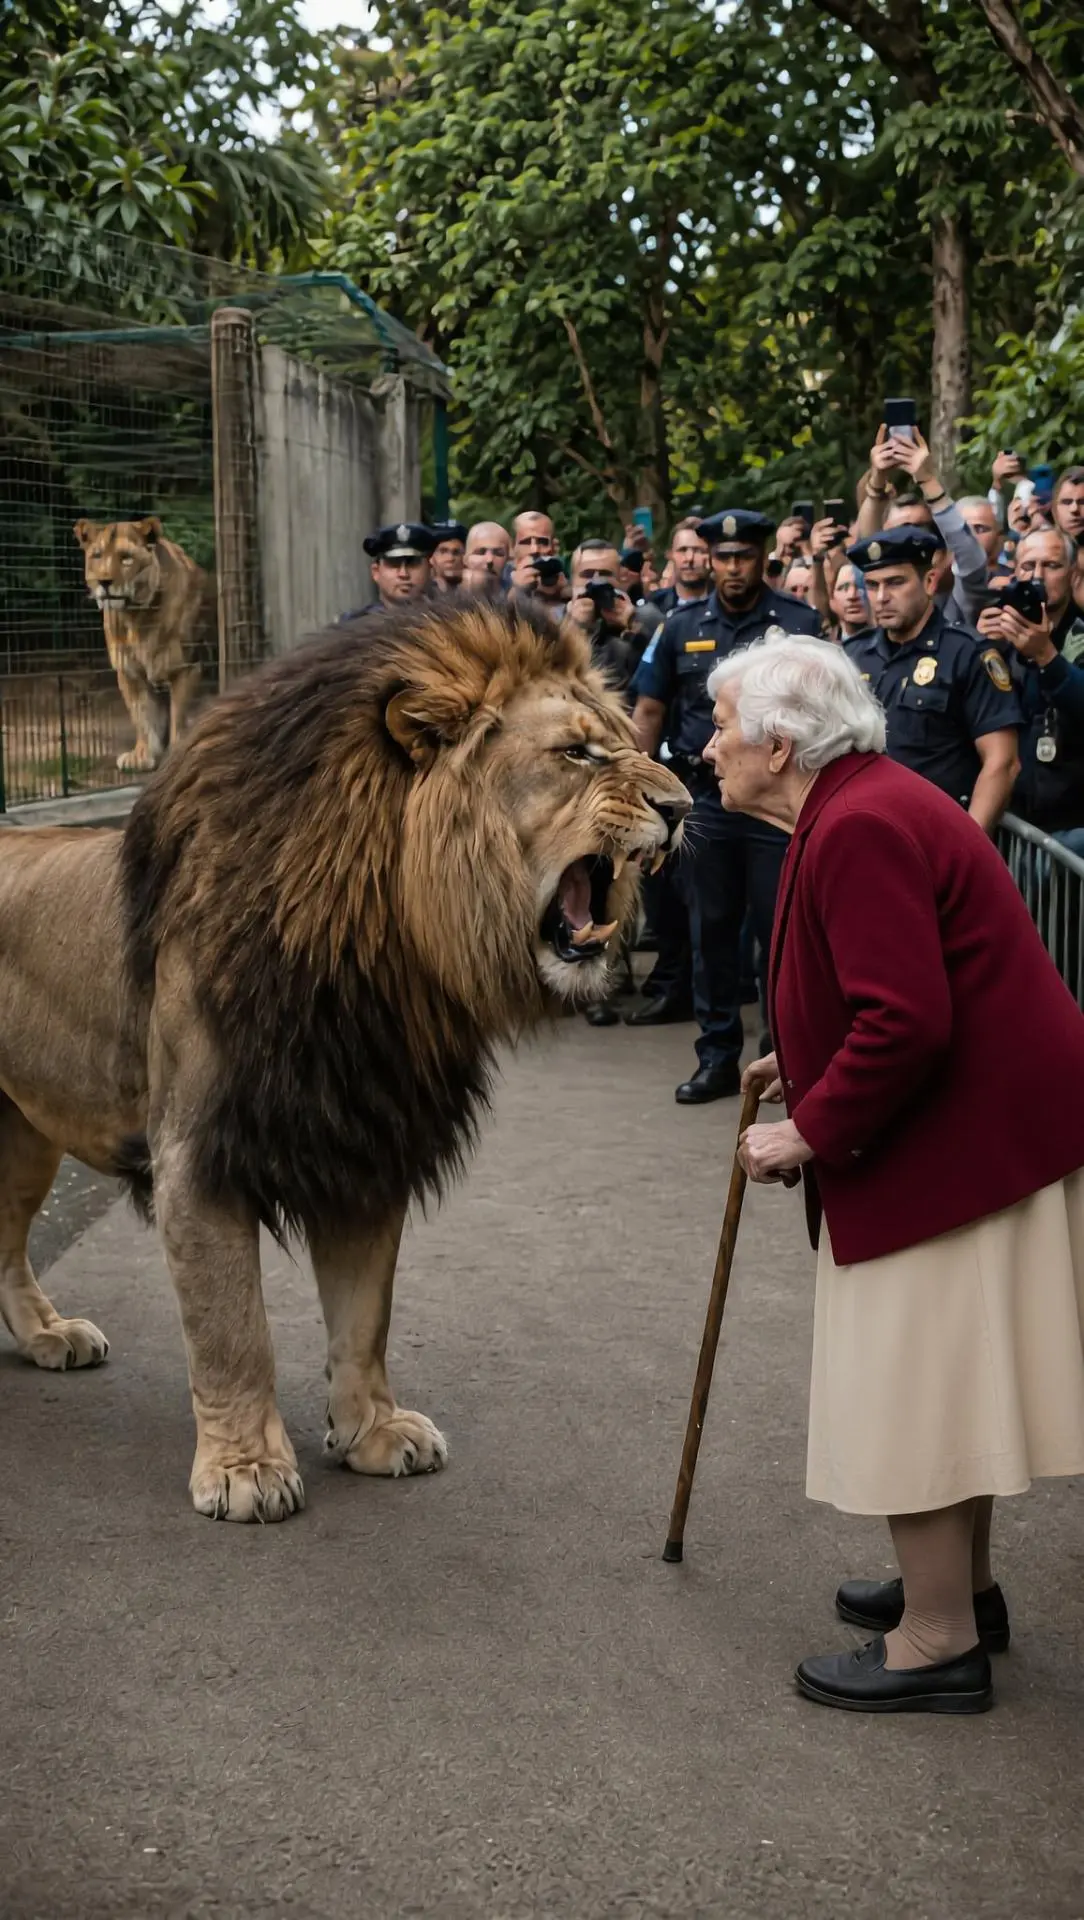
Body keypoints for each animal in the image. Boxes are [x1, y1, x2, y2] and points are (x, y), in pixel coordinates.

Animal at [0, 599, 689, 1522]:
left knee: (8, 1246)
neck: (379, 952)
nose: (684, 805)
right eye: (577, 753)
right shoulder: (200, 1152)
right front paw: (246, 1469)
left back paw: (48, 1335)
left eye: (624, 740)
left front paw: (371, 1434)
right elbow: (233, 1331)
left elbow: (365, 1318)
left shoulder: (363, 1139)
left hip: (25, 1134)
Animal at [74, 516, 214, 772]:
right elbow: (142, 715)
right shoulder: (129, 672)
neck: (135, 617)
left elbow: (179, 714)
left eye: (126, 558)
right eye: (97, 556)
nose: (104, 581)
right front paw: (141, 755)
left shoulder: (186, 667)